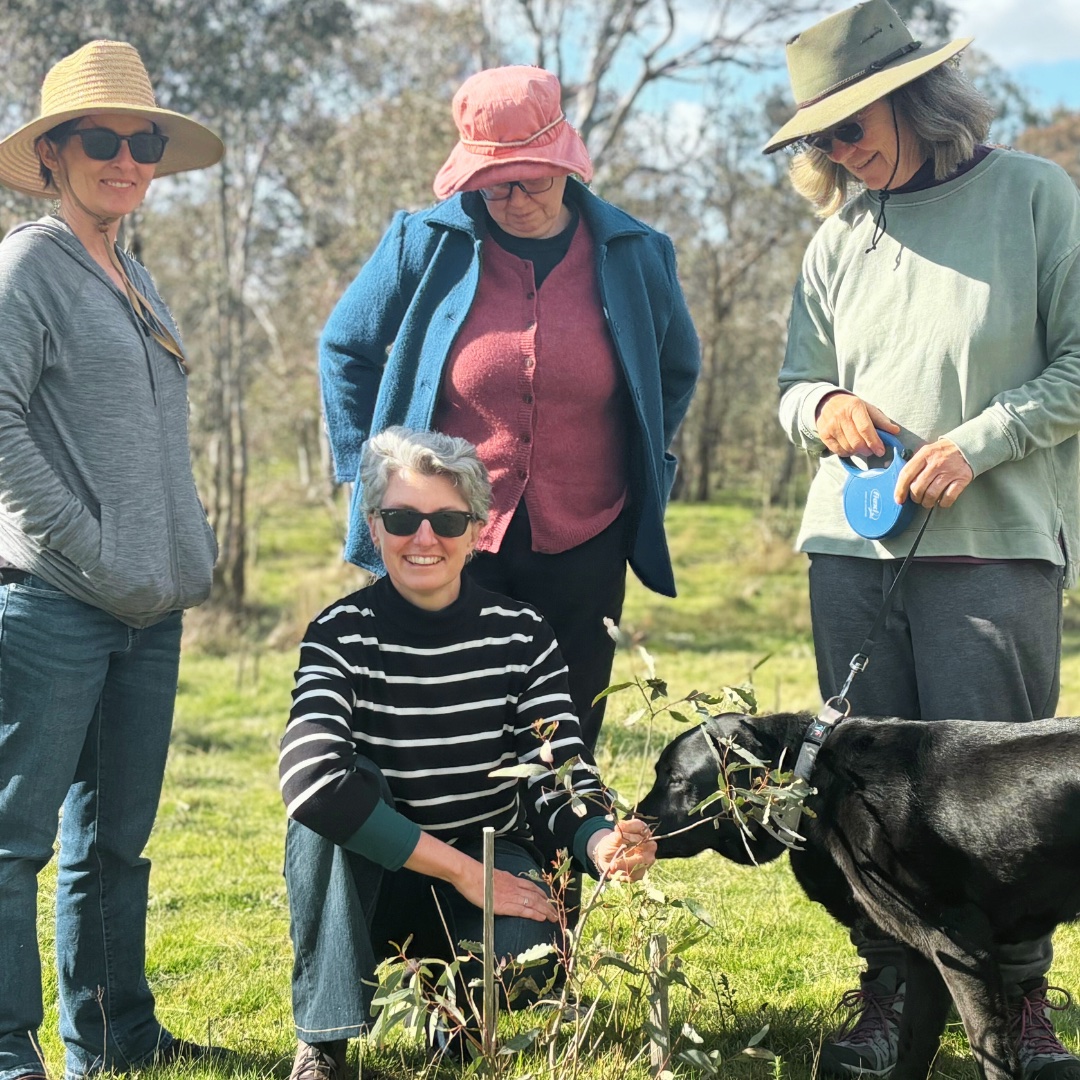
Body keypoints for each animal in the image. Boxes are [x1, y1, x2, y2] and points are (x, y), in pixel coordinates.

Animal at [630, 708, 1080, 1080]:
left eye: (675, 778)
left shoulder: (963, 946)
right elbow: (914, 1043)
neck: (815, 778)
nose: (634, 822)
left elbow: (992, 1053)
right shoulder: (925, 955)